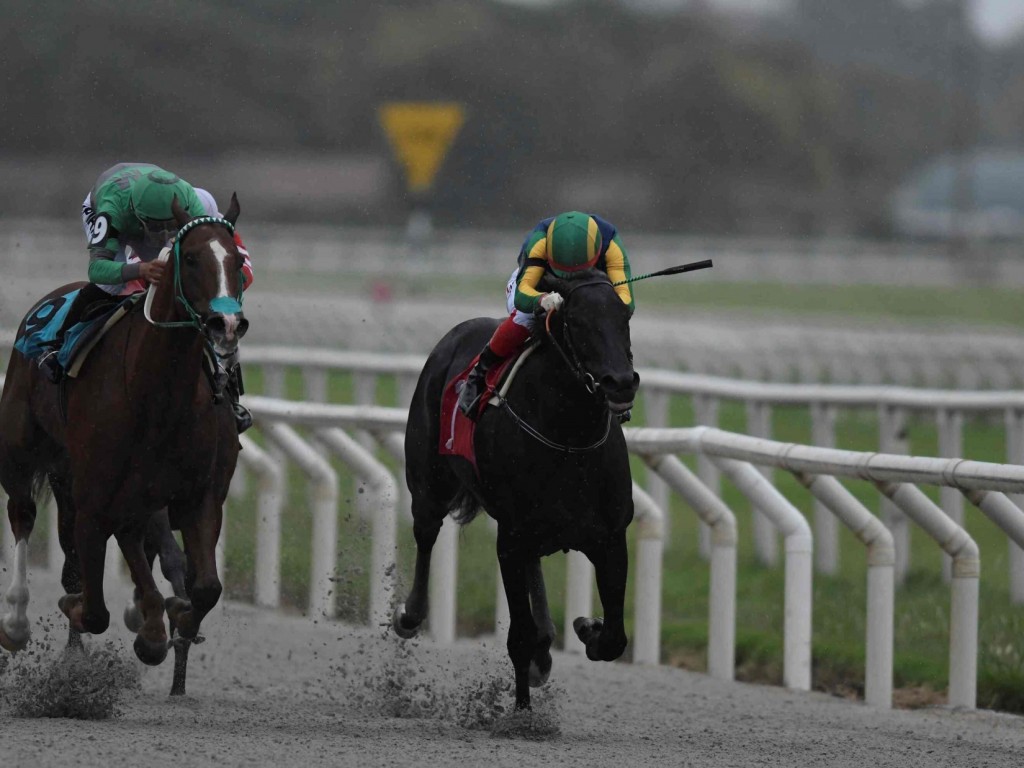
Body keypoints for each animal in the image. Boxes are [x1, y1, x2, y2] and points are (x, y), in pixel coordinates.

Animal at [0, 193, 245, 684]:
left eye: (237, 260)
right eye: (191, 258)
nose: (226, 324)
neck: (157, 394)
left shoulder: (199, 496)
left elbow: (205, 587)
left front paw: (170, 620)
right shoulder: (94, 500)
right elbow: (92, 609)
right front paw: (91, 612)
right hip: (19, 453)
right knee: (22, 514)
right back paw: (16, 621)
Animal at [393, 270, 638, 708]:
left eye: (623, 317)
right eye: (578, 322)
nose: (621, 383)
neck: (569, 439)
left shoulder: (610, 538)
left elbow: (614, 639)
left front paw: (586, 627)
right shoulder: (509, 538)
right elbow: (518, 637)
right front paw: (522, 712)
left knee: (534, 566)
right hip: (428, 484)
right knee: (426, 532)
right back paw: (411, 615)